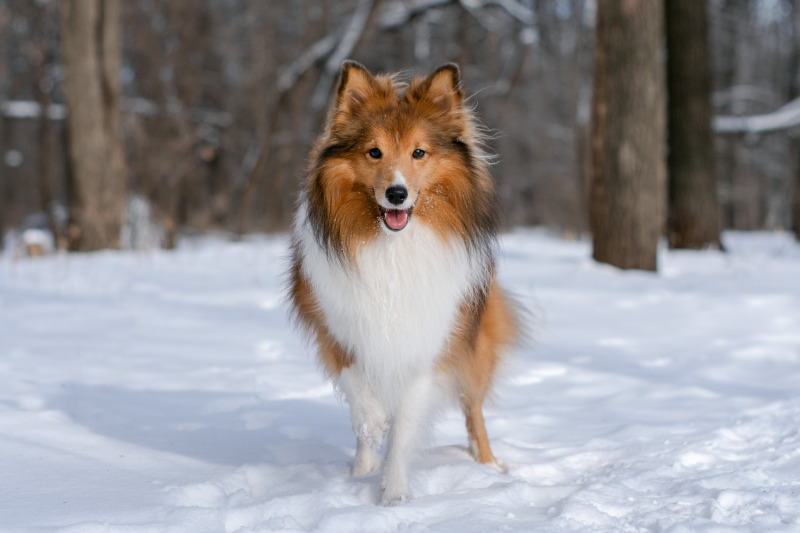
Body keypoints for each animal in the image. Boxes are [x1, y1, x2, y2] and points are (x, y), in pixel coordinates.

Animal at [288, 61, 520, 502]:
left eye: (419, 152)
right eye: (374, 151)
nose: (396, 194)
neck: (392, 249)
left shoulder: (428, 342)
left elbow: (406, 427)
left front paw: (394, 496)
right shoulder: (335, 323)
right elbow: (357, 384)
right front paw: (372, 427)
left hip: (474, 347)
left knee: (474, 410)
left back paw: (488, 466)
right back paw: (361, 465)